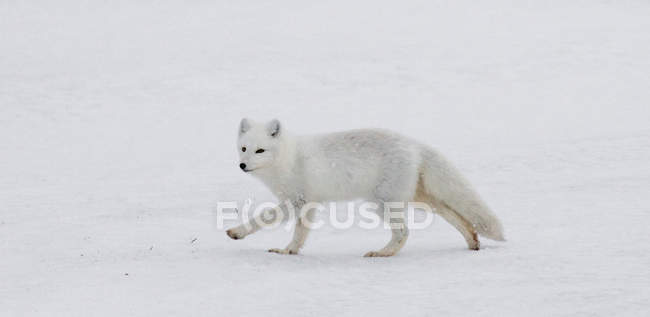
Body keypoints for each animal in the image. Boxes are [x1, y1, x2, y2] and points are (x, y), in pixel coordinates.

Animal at [225, 118, 504, 256]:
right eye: (244, 148)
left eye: (260, 150)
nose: (242, 165)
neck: (287, 159)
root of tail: (413, 143)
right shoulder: (302, 203)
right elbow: (283, 226)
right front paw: (281, 248)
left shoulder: (300, 201)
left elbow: (277, 223)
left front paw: (278, 247)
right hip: (418, 200)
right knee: (457, 216)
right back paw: (472, 243)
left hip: (383, 203)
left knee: (404, 232)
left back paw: (382, 254)